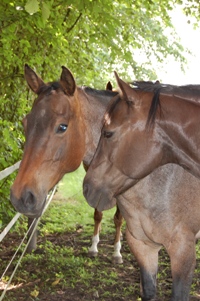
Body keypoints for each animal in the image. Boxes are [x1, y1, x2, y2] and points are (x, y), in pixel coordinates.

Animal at [10, 63, 123, 262]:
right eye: (25, 123)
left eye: (62, 127)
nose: (20, 197)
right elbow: (98, 213)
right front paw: (94, 246)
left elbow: (118, 218)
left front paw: (117, 251)